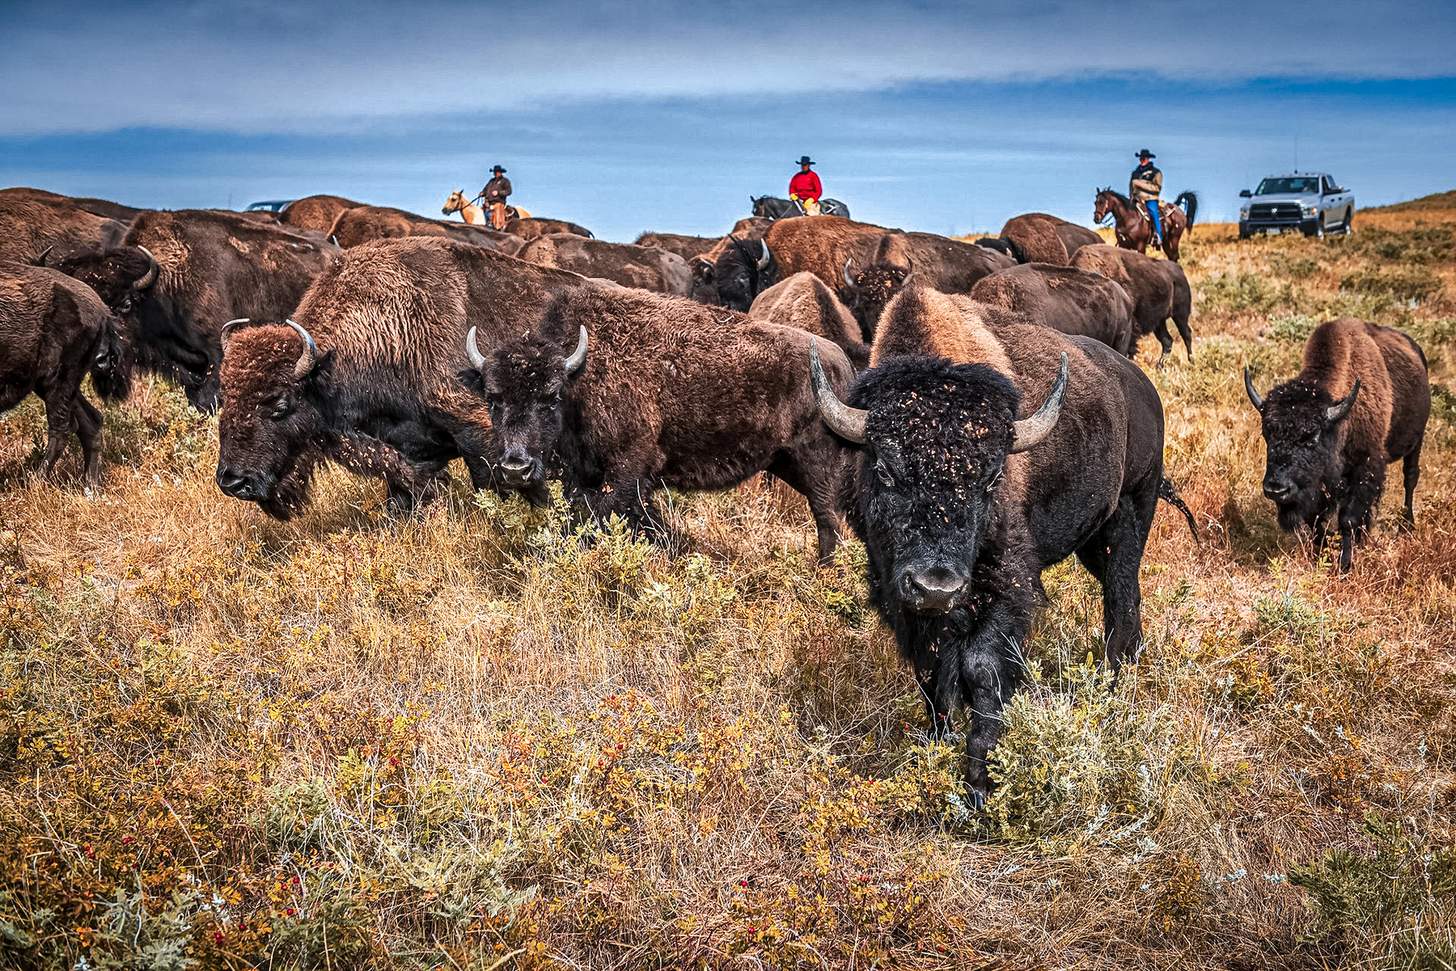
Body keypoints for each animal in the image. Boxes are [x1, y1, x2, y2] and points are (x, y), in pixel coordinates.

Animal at [0, 261, 128, 480]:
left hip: (59, 380)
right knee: (90, 421)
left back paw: (36, 480)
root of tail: (101, 308)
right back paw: (90, 484)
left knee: (62, 428)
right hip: (56, 385)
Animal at [215, 238, 583, 518]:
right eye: (227, 399)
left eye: (279, 405)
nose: (232, 482)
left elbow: (493, 485)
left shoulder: (477, 430)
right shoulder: (405, 451)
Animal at [462, 284, 854, 561]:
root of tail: (839, 361)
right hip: (785, 462)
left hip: (817, 463)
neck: (581, 375)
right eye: (493, 398)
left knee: (827, 518)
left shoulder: (628, 470)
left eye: (551, 396)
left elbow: (622, 516)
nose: (516, 467)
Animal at [810, 284, 1187, 799]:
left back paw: (1114, 681)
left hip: (1133, 510)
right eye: (885, 470)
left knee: (1121, 596)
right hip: (1091, 539)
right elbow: (931, 674)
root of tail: (1143, 389)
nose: (936, 587)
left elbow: (981, 667)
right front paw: (938, 743)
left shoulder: (1007, 588)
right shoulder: (899, 595)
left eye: (991, 480)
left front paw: (981, 778)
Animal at [1244, 318, 1429, 572]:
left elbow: (1348, 519)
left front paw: (1344, 566)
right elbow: (1316, 521)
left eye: (1311, 436)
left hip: (1416, 441)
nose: (1276, 489)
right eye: (1267, 434)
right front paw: (1319, 555)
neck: (1339, 422)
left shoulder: (1365, 468)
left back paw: (1406, 526)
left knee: (1410, 479)